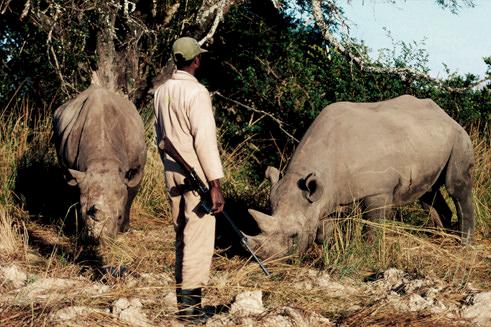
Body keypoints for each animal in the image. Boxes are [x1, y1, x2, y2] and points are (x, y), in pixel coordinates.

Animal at [54, 86, 147, 245]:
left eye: (119, 217)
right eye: (83, 214)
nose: (99, 240)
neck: (103, 160)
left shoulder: (136, 171)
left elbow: (130, 197)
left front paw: (125, 229)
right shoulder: (76, 173)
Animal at [248, 96, 474, 260]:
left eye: (294, 236)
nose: (264, 259)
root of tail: (446, 115)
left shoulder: (378, 191)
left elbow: (373, 226)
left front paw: (369, 253)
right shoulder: (325, 194)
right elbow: (324, 230)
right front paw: (330, 249)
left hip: (460, 137)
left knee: (455, 187)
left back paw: (465, 244)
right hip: (427, 139)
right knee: (429, 193)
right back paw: (440, 239)